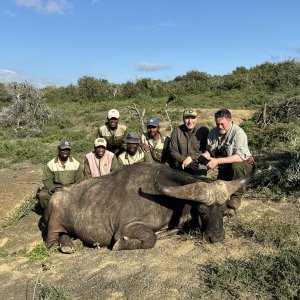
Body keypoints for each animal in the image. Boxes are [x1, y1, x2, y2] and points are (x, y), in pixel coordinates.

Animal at [44, 162, 250, 253]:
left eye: (223, 212)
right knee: (52, 241)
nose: (216, 236)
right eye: (201, 210)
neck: (164, 201)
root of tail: (56, 196)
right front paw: (121, 244)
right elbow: (150, 239)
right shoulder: (126, 228)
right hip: (52, 228)